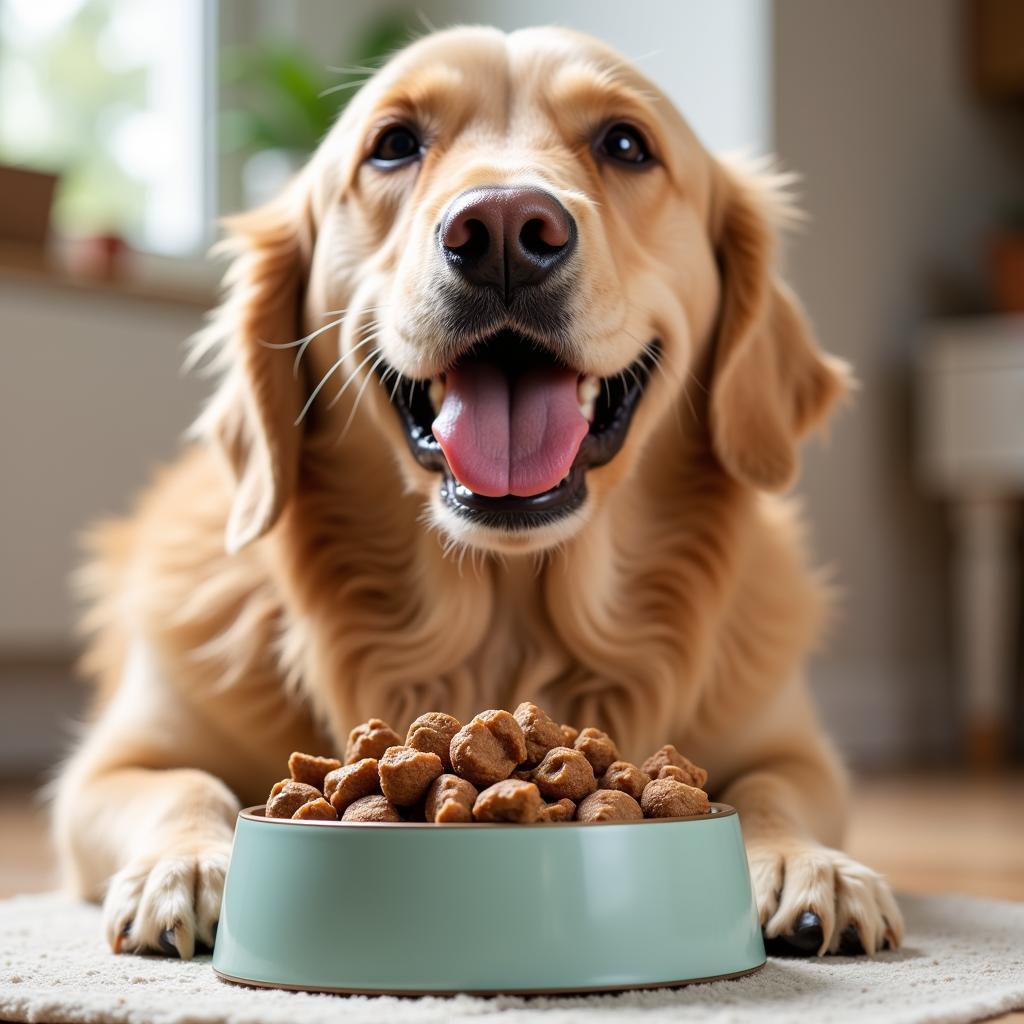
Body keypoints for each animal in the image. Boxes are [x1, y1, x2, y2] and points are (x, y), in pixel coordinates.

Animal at [56, 24, 905, 958]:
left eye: (626, 144)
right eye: (393, 144)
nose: (502, 228)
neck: (505, 622)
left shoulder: (795, 749)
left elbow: (767, 790)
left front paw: (806, 864)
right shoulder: (111, 766)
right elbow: (184, 783)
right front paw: (188, 865)